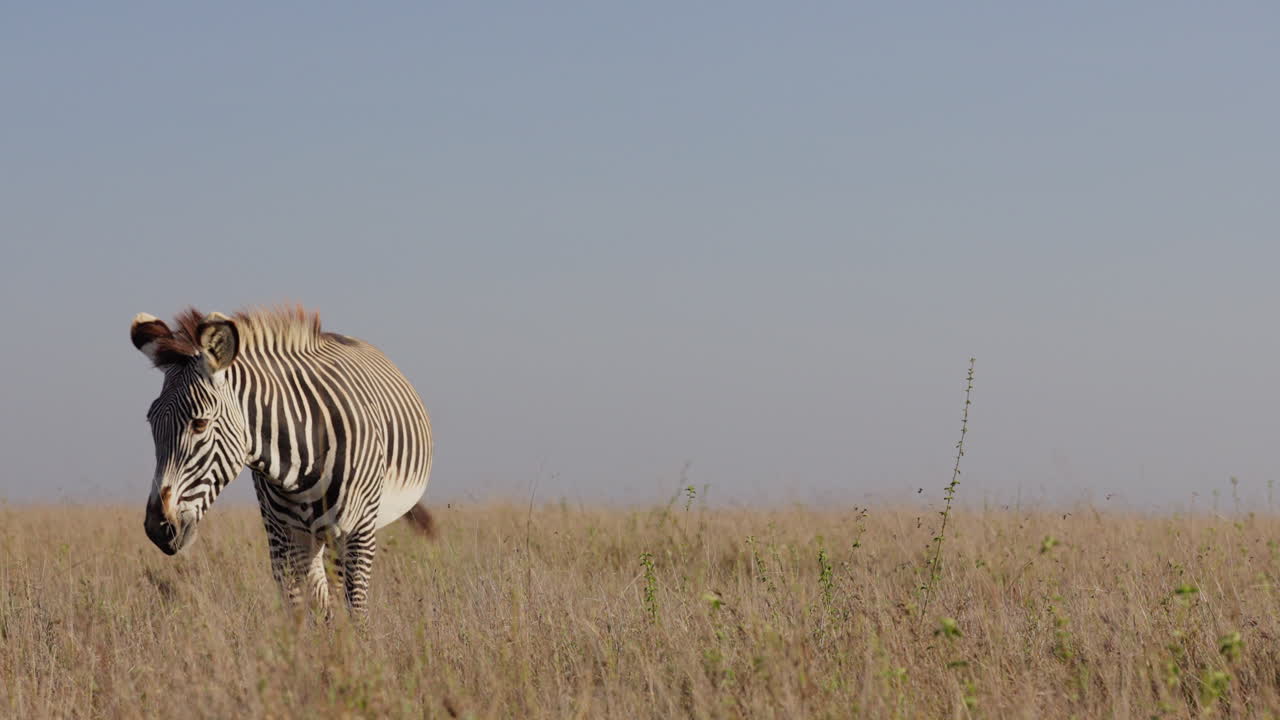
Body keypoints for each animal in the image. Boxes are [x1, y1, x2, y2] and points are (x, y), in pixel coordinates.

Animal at [130, 306, 433, 614]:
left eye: (200, 424)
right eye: (151, 422)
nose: (158, 529)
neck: (302, 466)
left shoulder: (358, 533)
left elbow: (355, 612)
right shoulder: (283, 539)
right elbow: (303, 613)